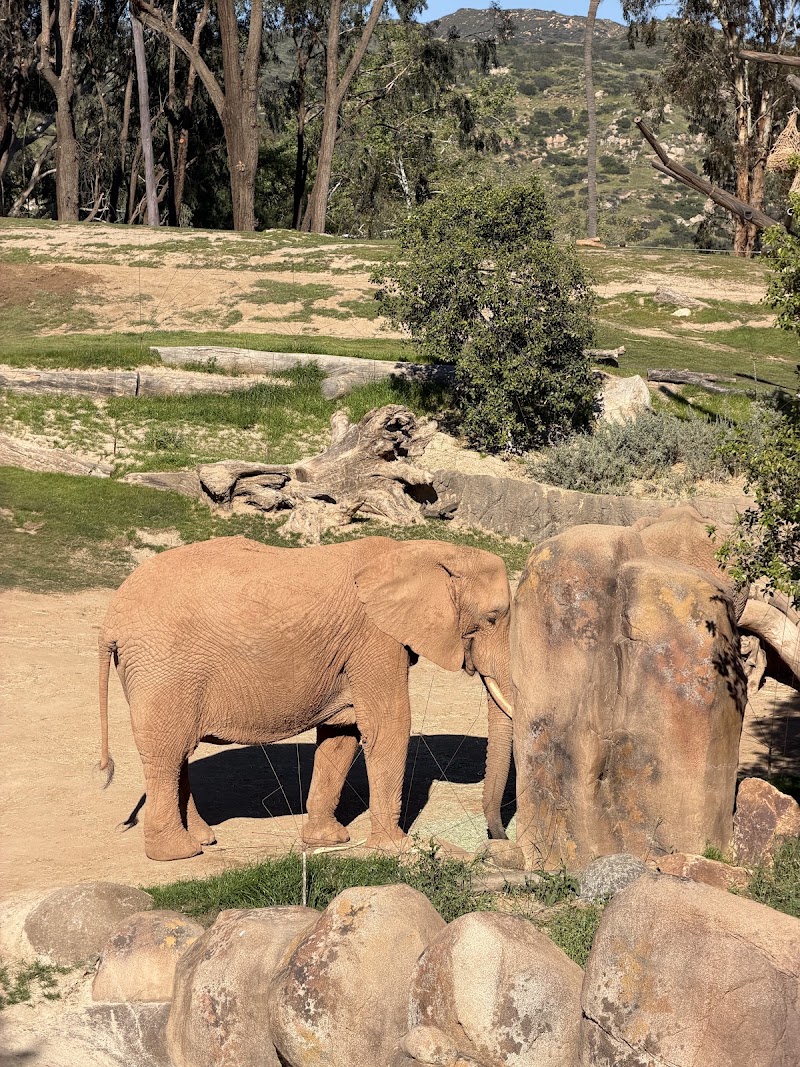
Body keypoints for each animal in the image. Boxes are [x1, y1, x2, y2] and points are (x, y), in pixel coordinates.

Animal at [98, 535, 513, 861]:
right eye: (493, 617)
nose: (498, 841)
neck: (419, 551)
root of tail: (110, 621)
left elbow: (342, 732)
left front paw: (329, 840)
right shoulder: (376, 639)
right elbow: (388, 726)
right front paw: (396, 848)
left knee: (178, 751)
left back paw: (202, 839)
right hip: (162, 666)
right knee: (166, 752)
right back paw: (179, 853)